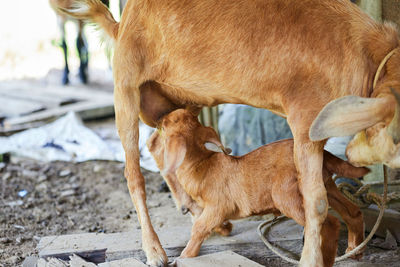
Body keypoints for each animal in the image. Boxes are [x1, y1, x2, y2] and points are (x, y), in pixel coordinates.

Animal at [148, 109, 368, 267]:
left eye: (164, 127)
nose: (157, 120)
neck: (201, 164)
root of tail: (325, 154)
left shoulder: (218, 207)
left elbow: (199, 228)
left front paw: (186, 255)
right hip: (327, 186)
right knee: (352, 212)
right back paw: (355, 251)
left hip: (287, 195)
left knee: (328, 223)